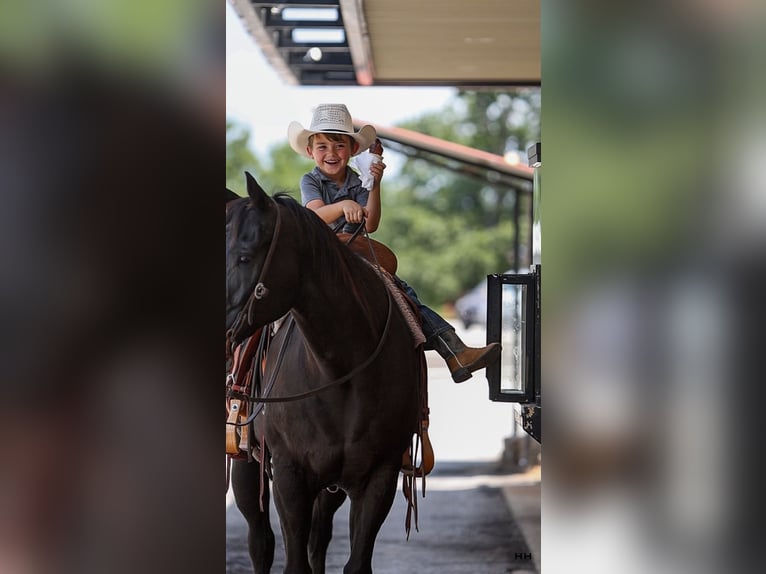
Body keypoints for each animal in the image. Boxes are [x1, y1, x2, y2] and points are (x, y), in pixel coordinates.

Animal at [225, 173, 424, 572]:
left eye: (244, 256)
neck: (339, 369)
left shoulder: (379, 475)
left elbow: (354, 561)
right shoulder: (290, 474)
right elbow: (294, 560)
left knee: (318, 539)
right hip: (247, 461)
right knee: (261, 541)